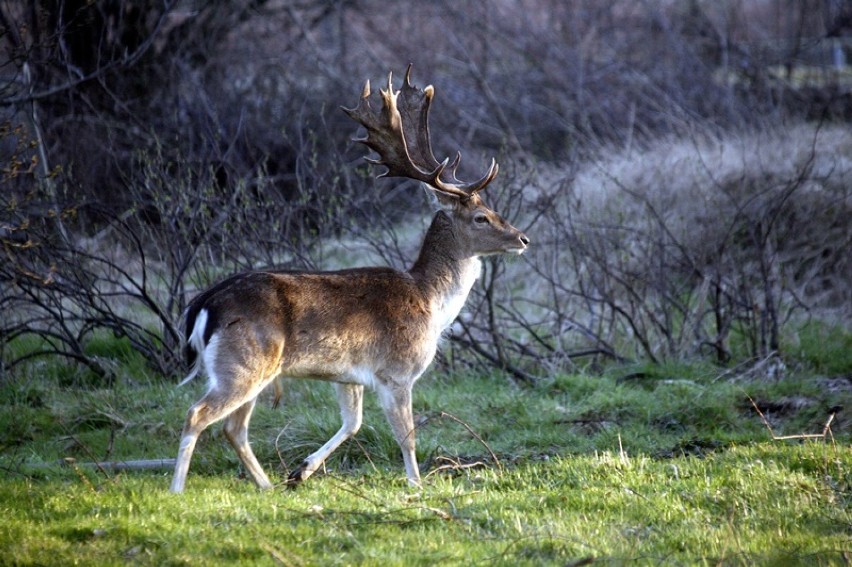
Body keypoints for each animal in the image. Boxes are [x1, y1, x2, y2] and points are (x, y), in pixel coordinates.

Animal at [170, 65, 528, 492]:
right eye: (481, 217)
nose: (522, 238)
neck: (431, 303)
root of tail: (202, 305)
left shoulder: (348, 376)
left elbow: (353, 423)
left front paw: (301, 470)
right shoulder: (396, 371)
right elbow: (406, 436)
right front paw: (416, 486)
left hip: (254, 369)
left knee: (233, 428)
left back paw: (268, 486)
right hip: (242, 362)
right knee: (198, 415)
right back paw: (176, 490)